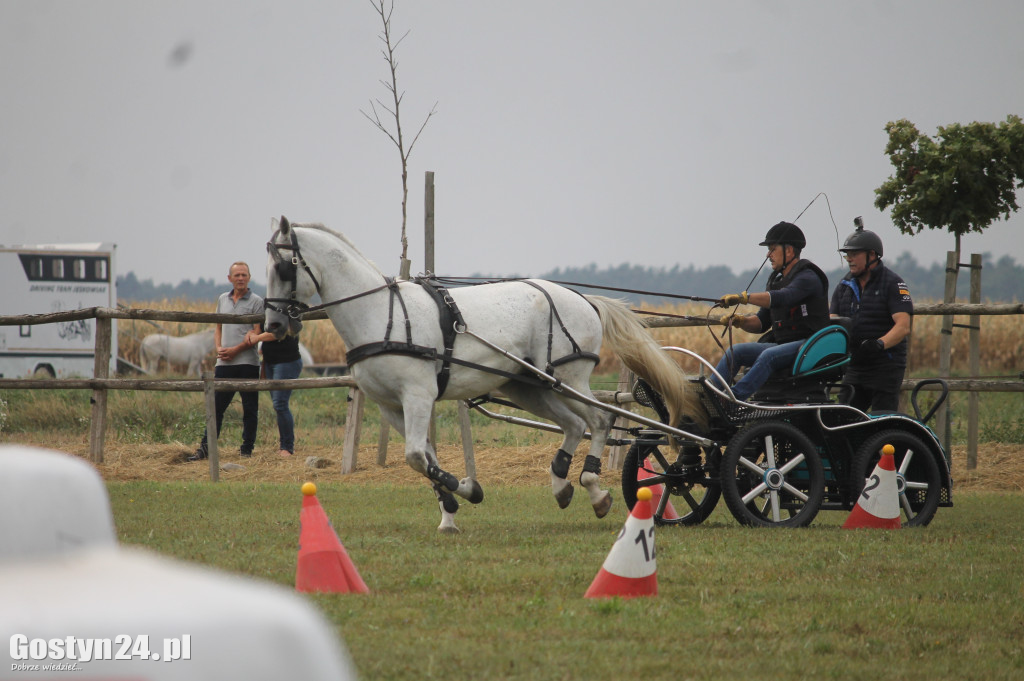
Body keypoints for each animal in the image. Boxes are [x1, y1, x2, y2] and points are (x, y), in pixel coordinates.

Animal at [262, 218, 704, 532]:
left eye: (283, 268)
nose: (274, 327)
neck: (381, 315)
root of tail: (581, 298)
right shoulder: (390, 406)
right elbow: (424, 456)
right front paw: (450, 509)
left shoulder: (418, 395)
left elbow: (415, 456)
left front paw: (467, 491)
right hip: (529, 387)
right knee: (574, 425)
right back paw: (561, 484)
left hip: (569, 378)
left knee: (599, 419)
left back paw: (594, 489)